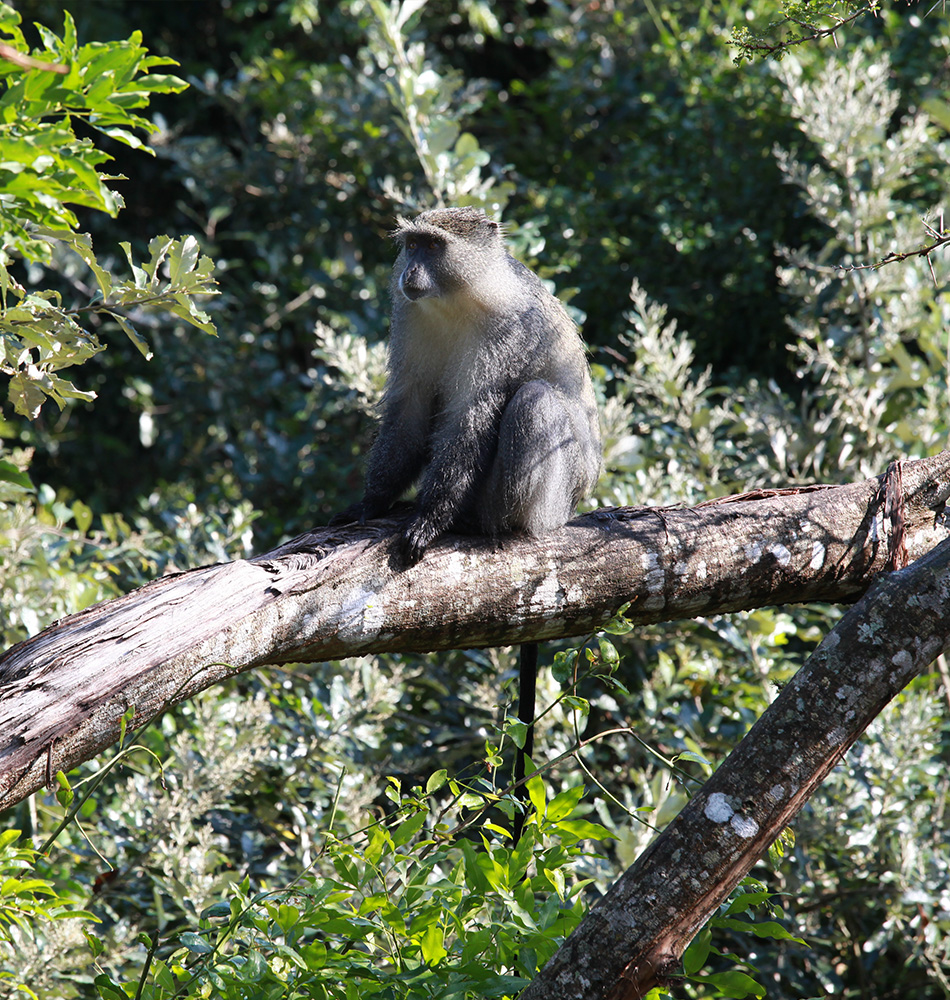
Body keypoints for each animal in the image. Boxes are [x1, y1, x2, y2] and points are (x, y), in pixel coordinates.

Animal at [334, 205, 604, 836]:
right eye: (411, 244)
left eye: (434, 247)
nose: (410, 272)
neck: (459, 298)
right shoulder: (408, 319)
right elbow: (410, 408)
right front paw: (371, 505)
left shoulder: (508, 334)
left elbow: (473, 417)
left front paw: (429, 521)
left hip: (554, 493)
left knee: (535, 401)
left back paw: (491, 526)